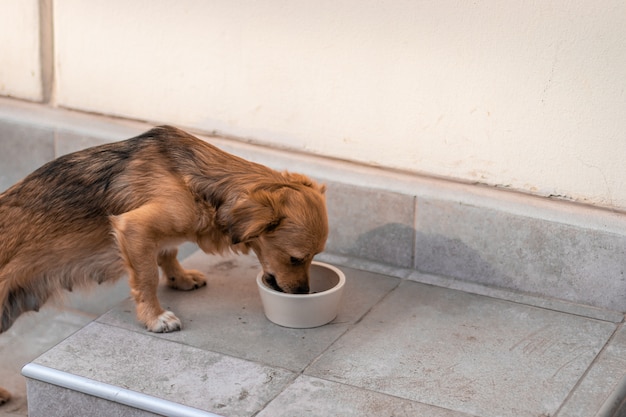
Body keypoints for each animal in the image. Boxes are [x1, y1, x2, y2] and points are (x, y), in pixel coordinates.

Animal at [0, 124, 330, 404]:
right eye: (296, 258)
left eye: (314, 256)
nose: (303, 293)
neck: (194, 183)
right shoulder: (134, 229)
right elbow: (146, 278)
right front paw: (155, 317)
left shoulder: (160, 235)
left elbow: (168, 253)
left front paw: (180, 278)